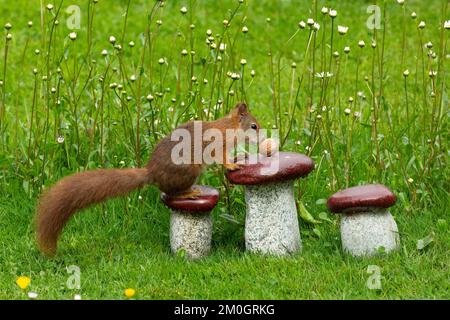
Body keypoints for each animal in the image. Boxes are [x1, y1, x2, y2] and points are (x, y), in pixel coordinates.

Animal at [36, 102, 260, 255]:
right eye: (254, 126)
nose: (262, 136)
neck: (230, 127)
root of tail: (152, 173)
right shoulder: (218, 145)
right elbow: (221, 158)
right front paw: (232, 164)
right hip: (189, 171)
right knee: (170, 193)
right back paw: (189, 193)